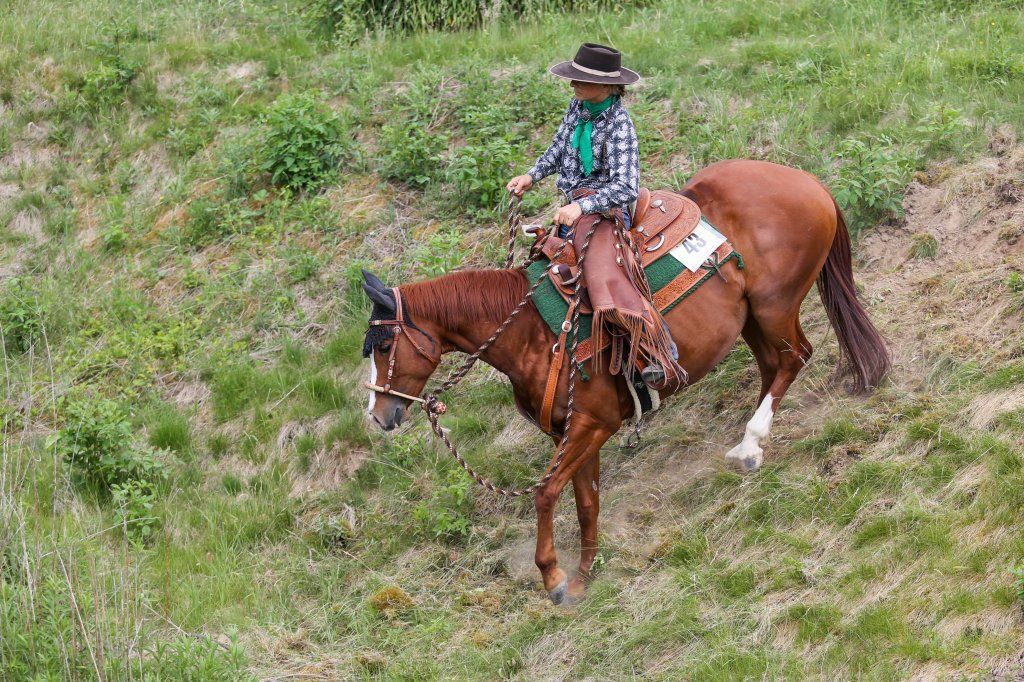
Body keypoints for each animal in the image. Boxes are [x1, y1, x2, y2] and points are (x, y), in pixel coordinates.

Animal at [359, 159, 890, 605]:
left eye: (382, 346)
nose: (379, 415)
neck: (529, 329)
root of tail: (809, 182)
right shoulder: (571, 433)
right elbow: (586, 502)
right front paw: (583, 577)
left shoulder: (593, 424)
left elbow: (546, 493)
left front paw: (554, 578)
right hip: (752, 320)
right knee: (773, 366)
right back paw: (750, 445)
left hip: (775, 306)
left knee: (795, 357)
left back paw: (750, 444)